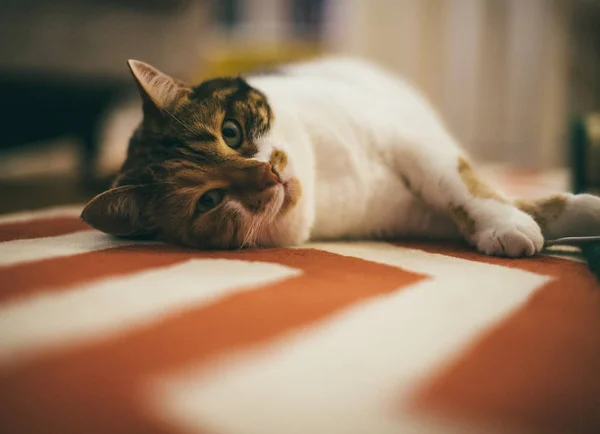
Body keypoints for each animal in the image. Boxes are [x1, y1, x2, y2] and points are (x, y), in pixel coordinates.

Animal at [81, 56, 600, 256]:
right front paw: (514, 225)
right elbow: (495, 203)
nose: (269, 175)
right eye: (208, 201)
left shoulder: (409, 140)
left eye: (231, 131)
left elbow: (462, 184)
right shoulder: (411, 215)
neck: (327, 179)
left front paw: (515, 220)